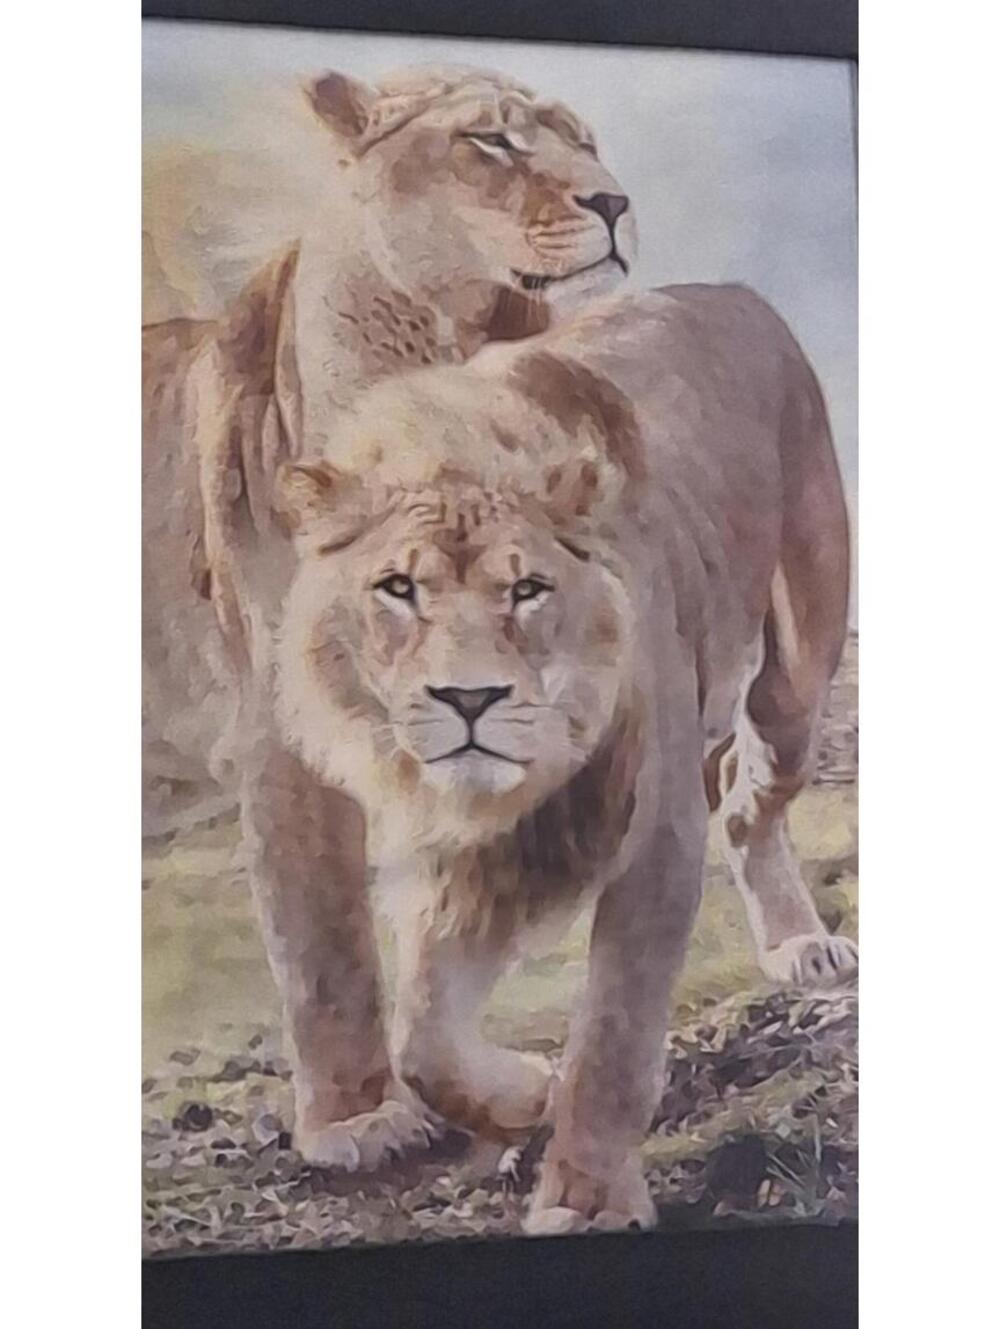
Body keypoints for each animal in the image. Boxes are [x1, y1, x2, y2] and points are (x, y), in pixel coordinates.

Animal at [264, 282, 855, 1232]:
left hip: (798, 667)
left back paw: (803, 946)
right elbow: (423, 1038)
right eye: (399, 588)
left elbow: (613, 1037)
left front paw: (588, 1199)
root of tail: (732, 290)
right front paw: (523, 1096)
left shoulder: (655, 838)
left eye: (527, 589)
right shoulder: (462, 865)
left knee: (748, 788)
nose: (469, 699)